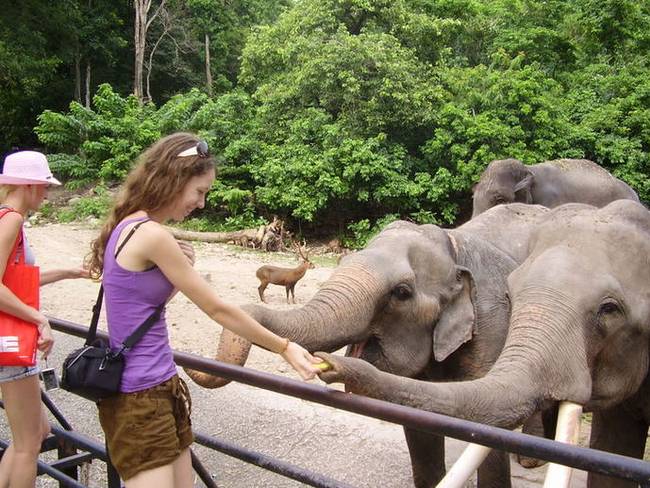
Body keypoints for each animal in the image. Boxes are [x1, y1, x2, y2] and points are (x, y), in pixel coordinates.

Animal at [317, 199, 650, 488]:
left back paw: (530, 460)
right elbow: (418, 430)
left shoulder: (491, 323)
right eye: (344, 260)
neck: (452, 244)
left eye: (401, 292)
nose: (326, 363)